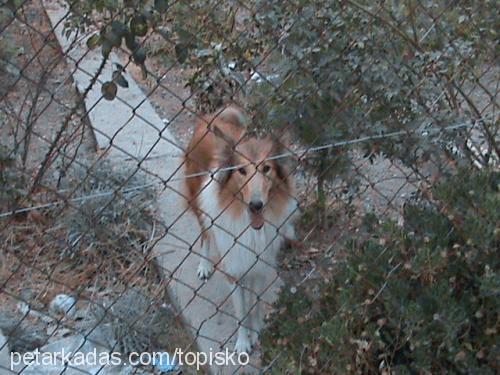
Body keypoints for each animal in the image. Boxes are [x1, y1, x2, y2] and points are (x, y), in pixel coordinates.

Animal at [186, 107, 298, 354]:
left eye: (266, 168)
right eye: (241, 171)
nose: (256, 205)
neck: (251, 227)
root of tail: (211, 117)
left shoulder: (258, 265)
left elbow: (254, 305)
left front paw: (255, 333)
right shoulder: (233, 268)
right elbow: (241, 311)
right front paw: (243, 343)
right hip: (198, 205)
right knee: (205, 236)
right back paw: (204, 266)